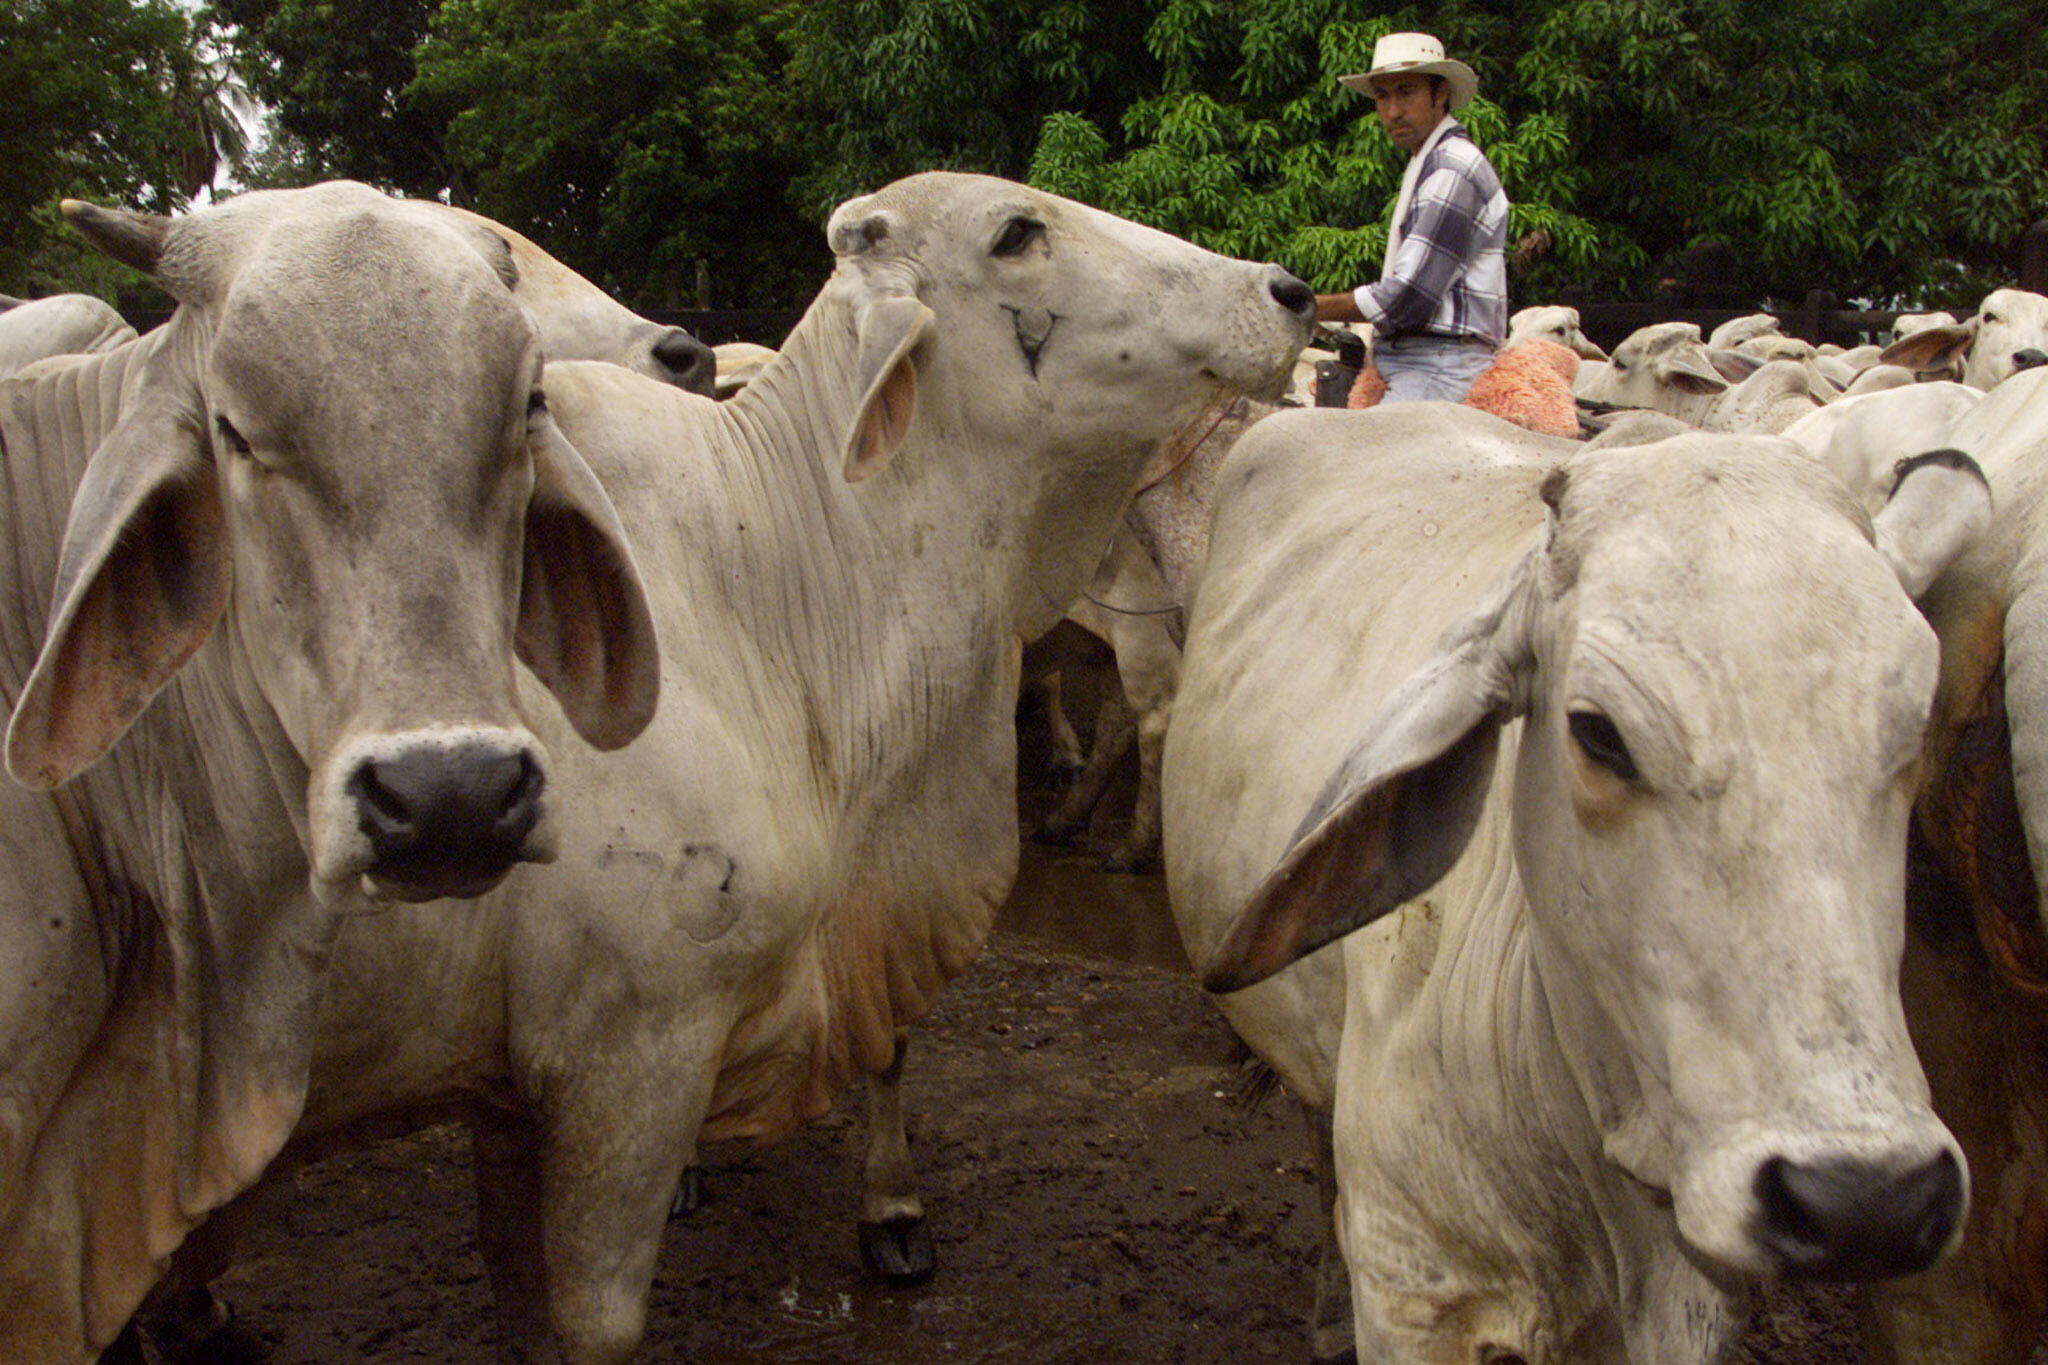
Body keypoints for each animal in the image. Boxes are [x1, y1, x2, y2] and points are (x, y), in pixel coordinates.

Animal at [144, 171, 1312, 1364]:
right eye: (1017, 232)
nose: (1287, 291)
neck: (770, 577)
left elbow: (888, 1051)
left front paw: (892, 1211)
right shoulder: (624, 1048)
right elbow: (591, 1316)